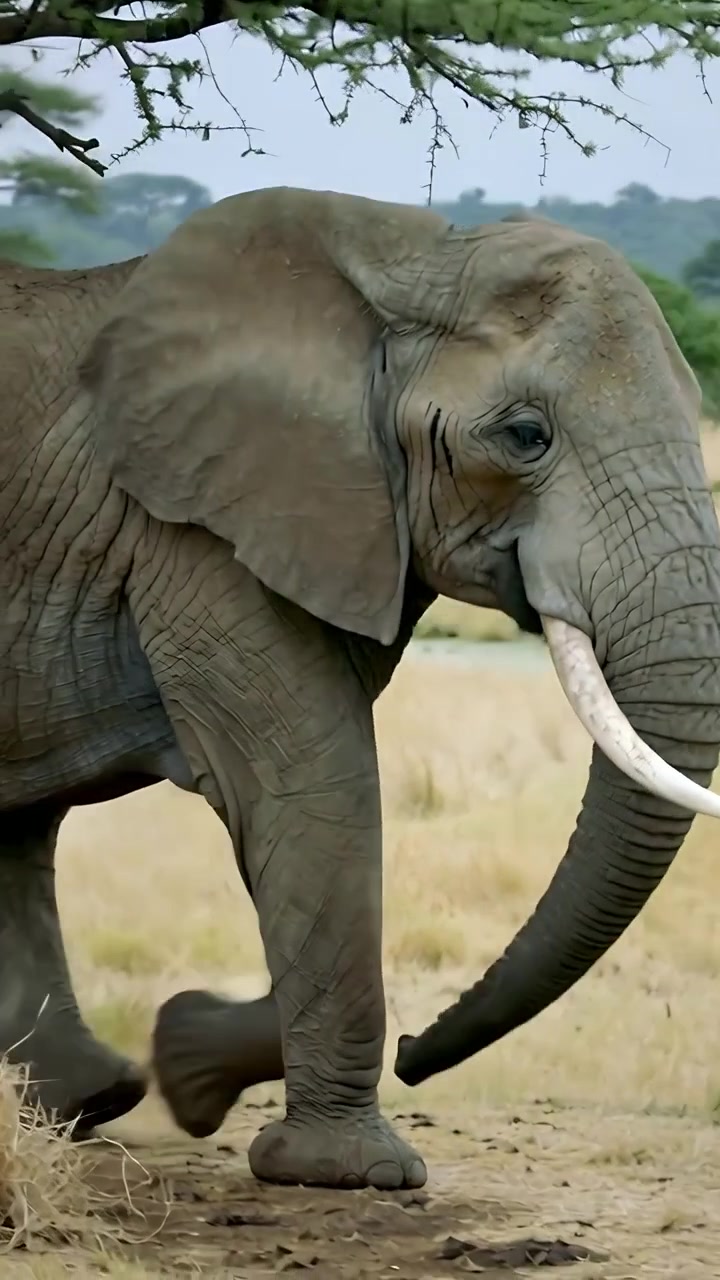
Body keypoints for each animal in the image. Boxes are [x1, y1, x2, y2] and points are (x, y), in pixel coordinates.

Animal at [2, 185, 720, 1193]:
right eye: (526, 436)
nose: (419, 1052)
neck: (406, 257)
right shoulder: (197, 529)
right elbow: (313, 787)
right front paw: (351, 1173)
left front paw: (188, 1057)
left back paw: (87, 1100)